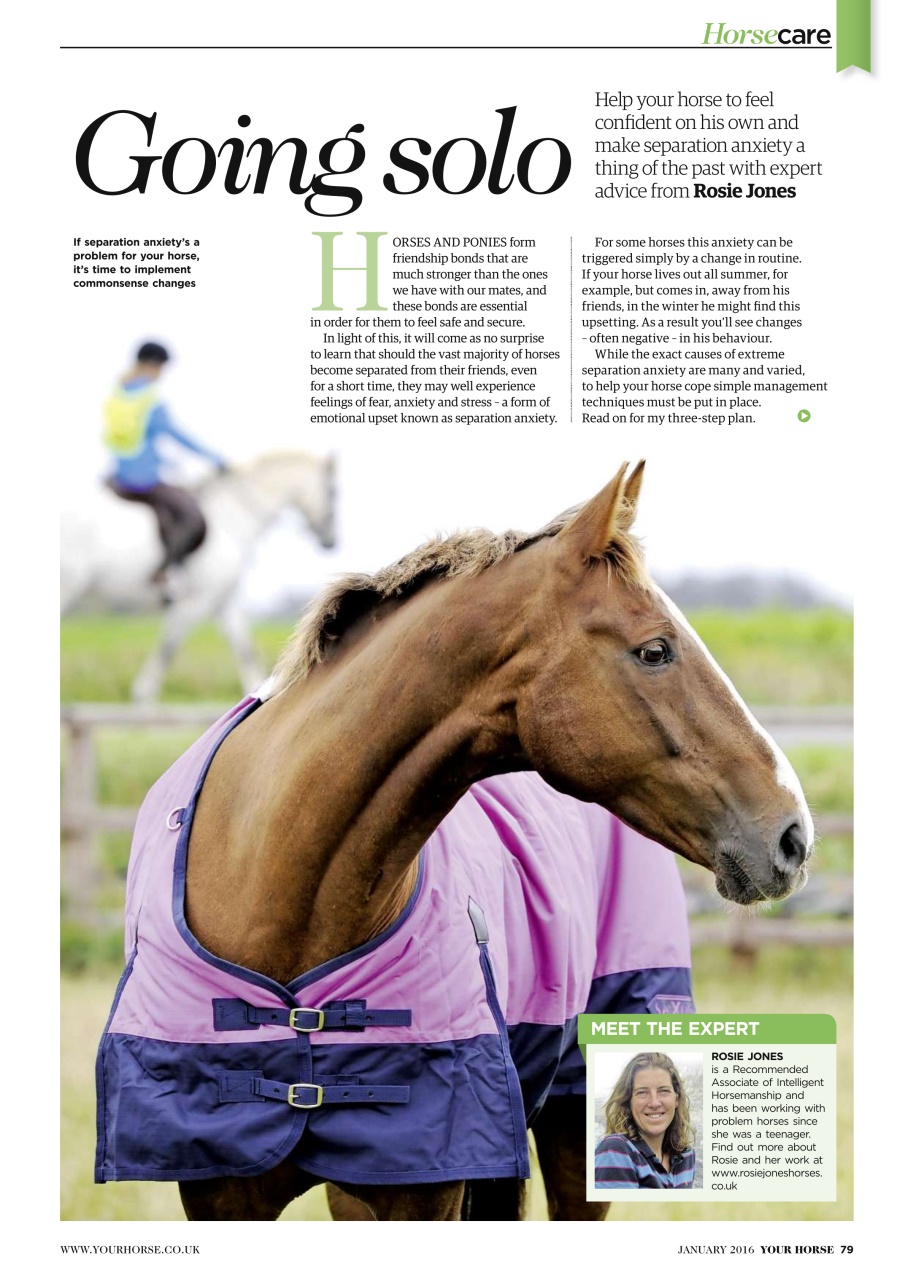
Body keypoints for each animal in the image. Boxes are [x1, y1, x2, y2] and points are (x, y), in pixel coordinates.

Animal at [60, 451, 337, 702]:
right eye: (333, 492)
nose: (330, 542)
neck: (233, 517)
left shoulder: (224, 600)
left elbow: (243, 646)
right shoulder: (199, 600)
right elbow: (169, 645)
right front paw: (143, 694)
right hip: (70, 586)